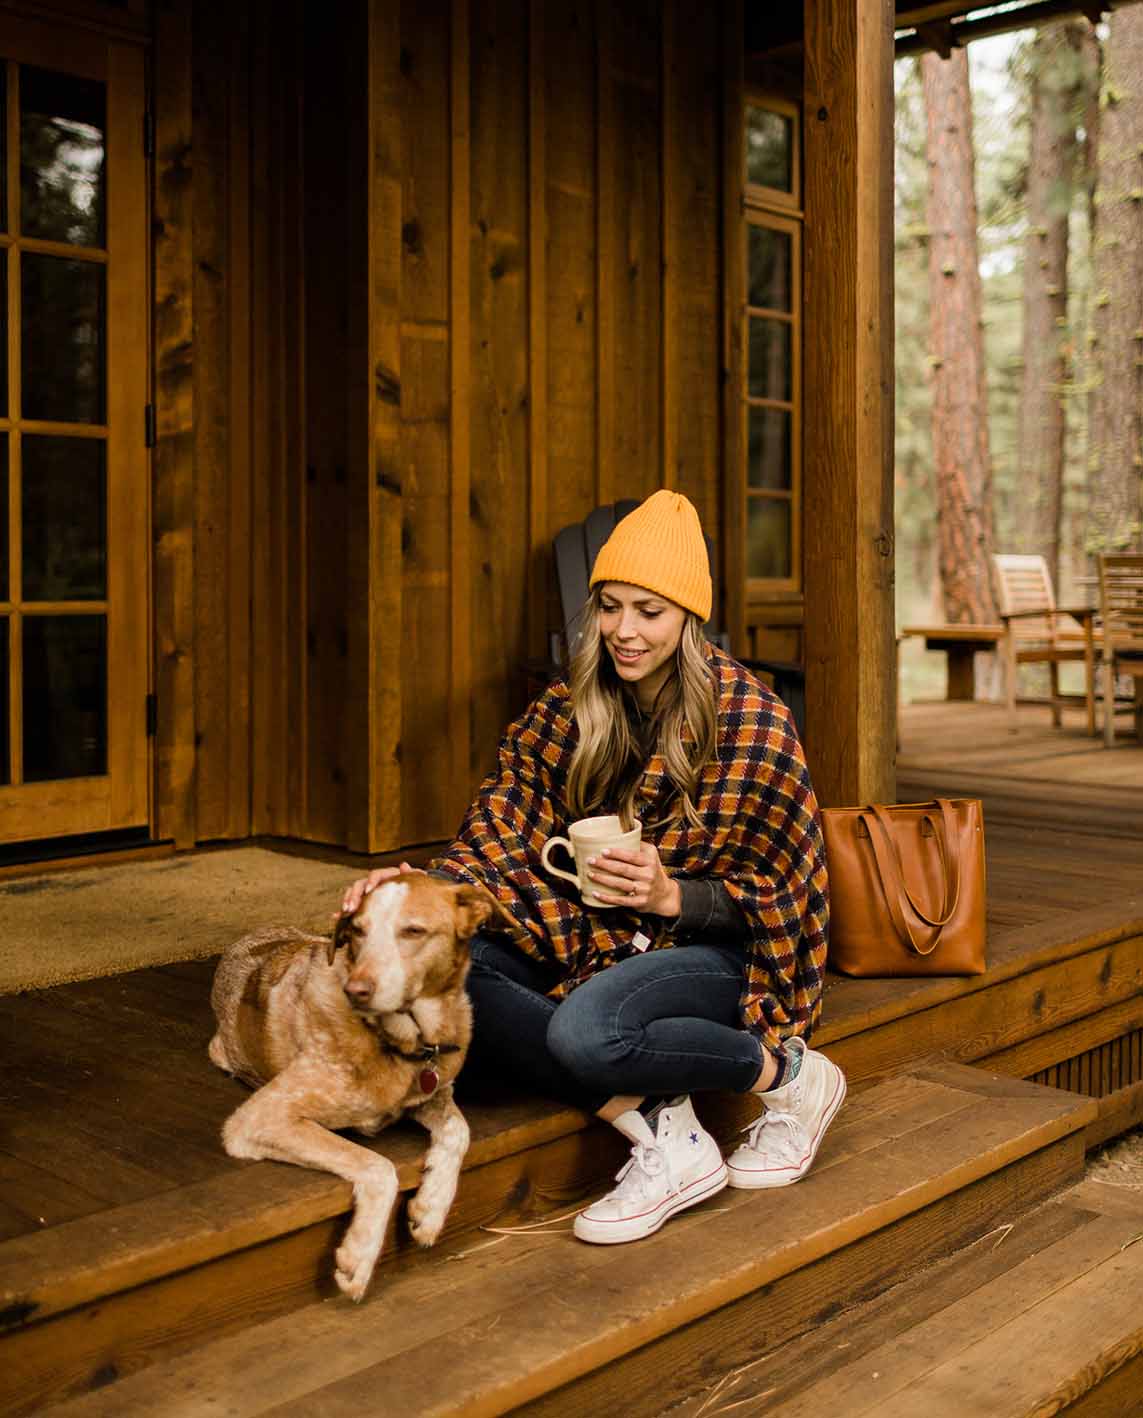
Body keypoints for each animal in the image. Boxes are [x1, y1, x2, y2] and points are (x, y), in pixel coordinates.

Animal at [208, 873, 499, 1298]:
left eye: (414, 931)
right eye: (358, 931)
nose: (356, 991)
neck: (402, 1042)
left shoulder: (435, 1091)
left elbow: (459, 1132)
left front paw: (431, 1208)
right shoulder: (263, 1117)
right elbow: (378, 1166)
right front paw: (359, 1254)